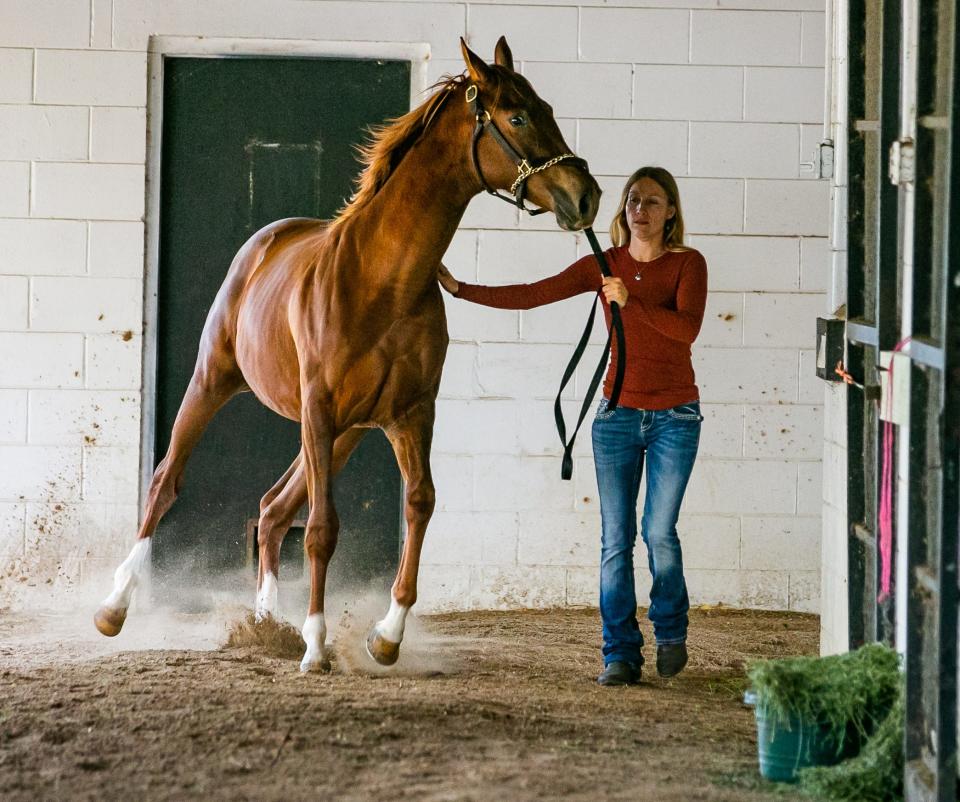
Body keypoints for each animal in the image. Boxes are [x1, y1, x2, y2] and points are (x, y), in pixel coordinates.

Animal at [92, 36, 600, 668]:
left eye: (546, 108)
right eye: (517, 117)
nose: (587, 197)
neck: (382, 280)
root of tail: (264, 243)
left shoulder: (410, 414)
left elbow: (419, 503)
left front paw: (386, 635)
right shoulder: (320, 406)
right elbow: (322, 528)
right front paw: (316, 644)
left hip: (346, 434)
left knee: (272, 509)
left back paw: (267, 624)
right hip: (218, 382)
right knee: (168, 482)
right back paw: (115, 607)